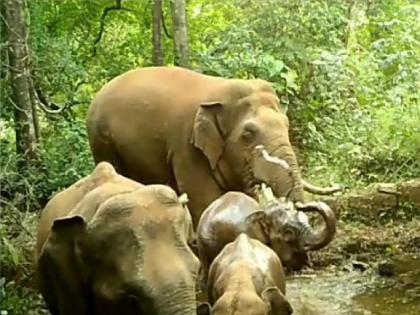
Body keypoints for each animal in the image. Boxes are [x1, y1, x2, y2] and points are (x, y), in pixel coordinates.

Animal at [87, 66, 340, 227]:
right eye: (248, 134)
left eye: (287, 124)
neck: (220, 91)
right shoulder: (186, 146)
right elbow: (203, 197)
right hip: (101, 141)